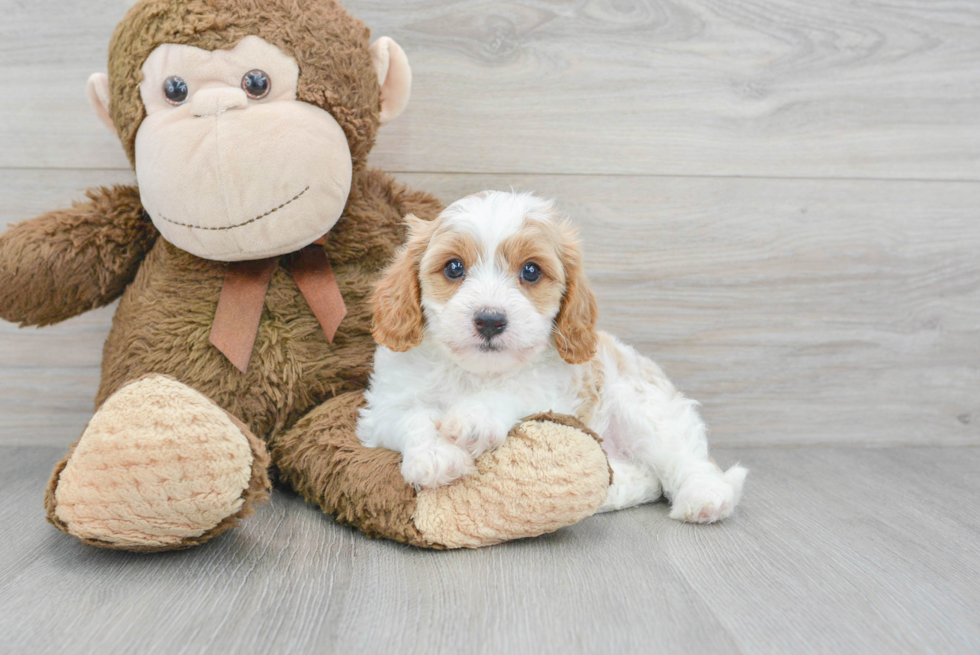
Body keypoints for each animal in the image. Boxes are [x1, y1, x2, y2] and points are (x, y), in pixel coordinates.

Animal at [356, 190, 748, 524]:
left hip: (646, 409)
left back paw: (705, 497)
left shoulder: (551, 393)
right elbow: (411, 417)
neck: (476, 373)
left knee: (684, 457)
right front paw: (436, 456)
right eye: (454, 268)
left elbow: (512, 393)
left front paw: (475, 417)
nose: (490, 320)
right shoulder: (383, 409)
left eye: (531, 271)